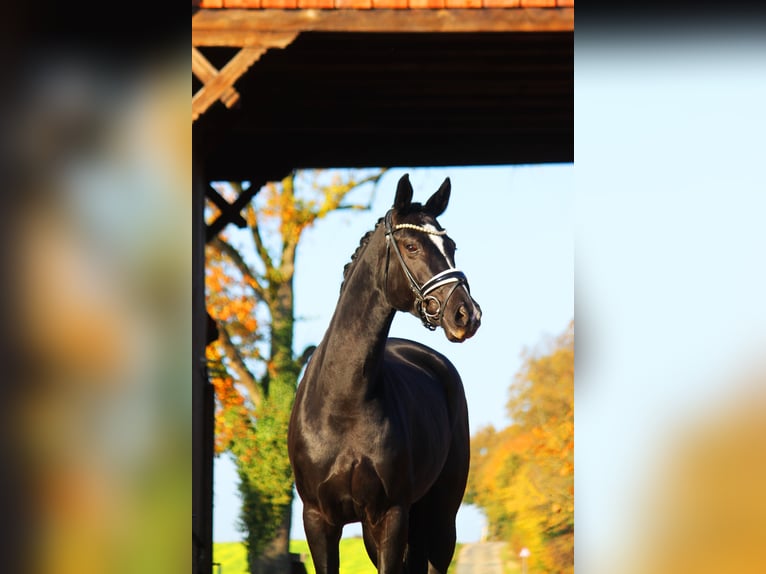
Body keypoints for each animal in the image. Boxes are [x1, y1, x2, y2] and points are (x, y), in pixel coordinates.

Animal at [292, 174, 484, 574]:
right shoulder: (318, 519)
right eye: (411, 246)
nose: (466, 314)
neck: (343, 402)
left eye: (451, 246)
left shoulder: (390, 516)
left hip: (441, 519)